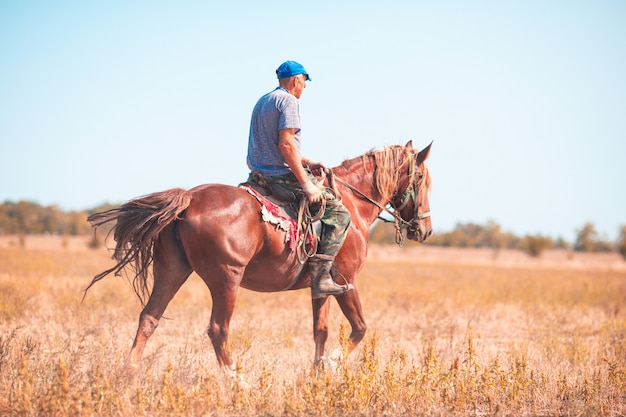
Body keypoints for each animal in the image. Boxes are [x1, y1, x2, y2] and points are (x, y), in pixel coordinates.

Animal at [85, 141, 432, 374]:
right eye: (422, 179)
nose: (425, 229)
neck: (352, 204)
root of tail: (189, 198)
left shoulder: (321, 287)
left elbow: (320, 331)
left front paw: (316, 375)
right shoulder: (346, 279)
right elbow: (359, 328)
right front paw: (330, 366)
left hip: (172, 270)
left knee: (149, 318)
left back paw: (128, 375)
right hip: (226, 278)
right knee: (218, 330)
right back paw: (238, 383)